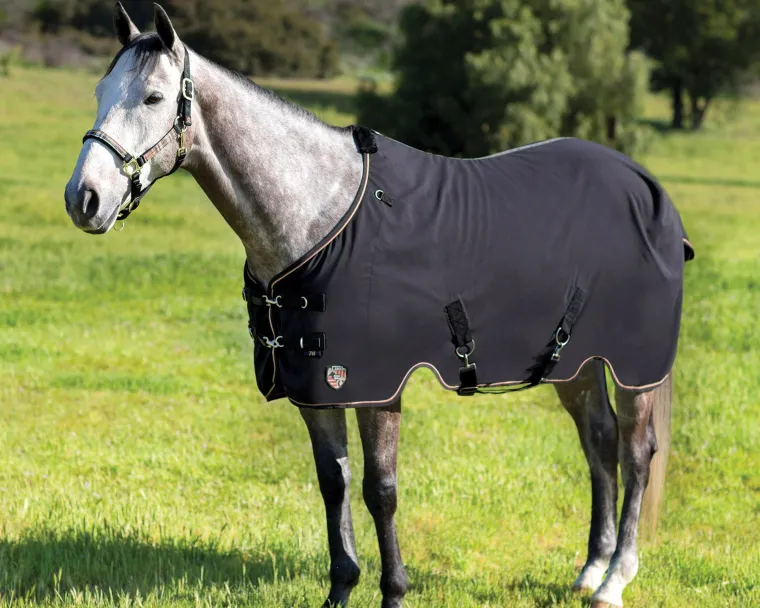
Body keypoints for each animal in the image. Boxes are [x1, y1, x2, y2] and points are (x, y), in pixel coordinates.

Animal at [64, 4, 693, 607]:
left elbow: (380, 490)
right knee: (600, 443)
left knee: (637, 453)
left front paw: (394, 592)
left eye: (154, 97)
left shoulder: (375, 387)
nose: (83, 198)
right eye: (98, 91)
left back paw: (615, 581)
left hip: (635, 368)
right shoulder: (315, 388)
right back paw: (589, 571)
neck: (321, 216)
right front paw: (340, 589)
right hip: (575, 363)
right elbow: (333, 483)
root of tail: (643, 184)